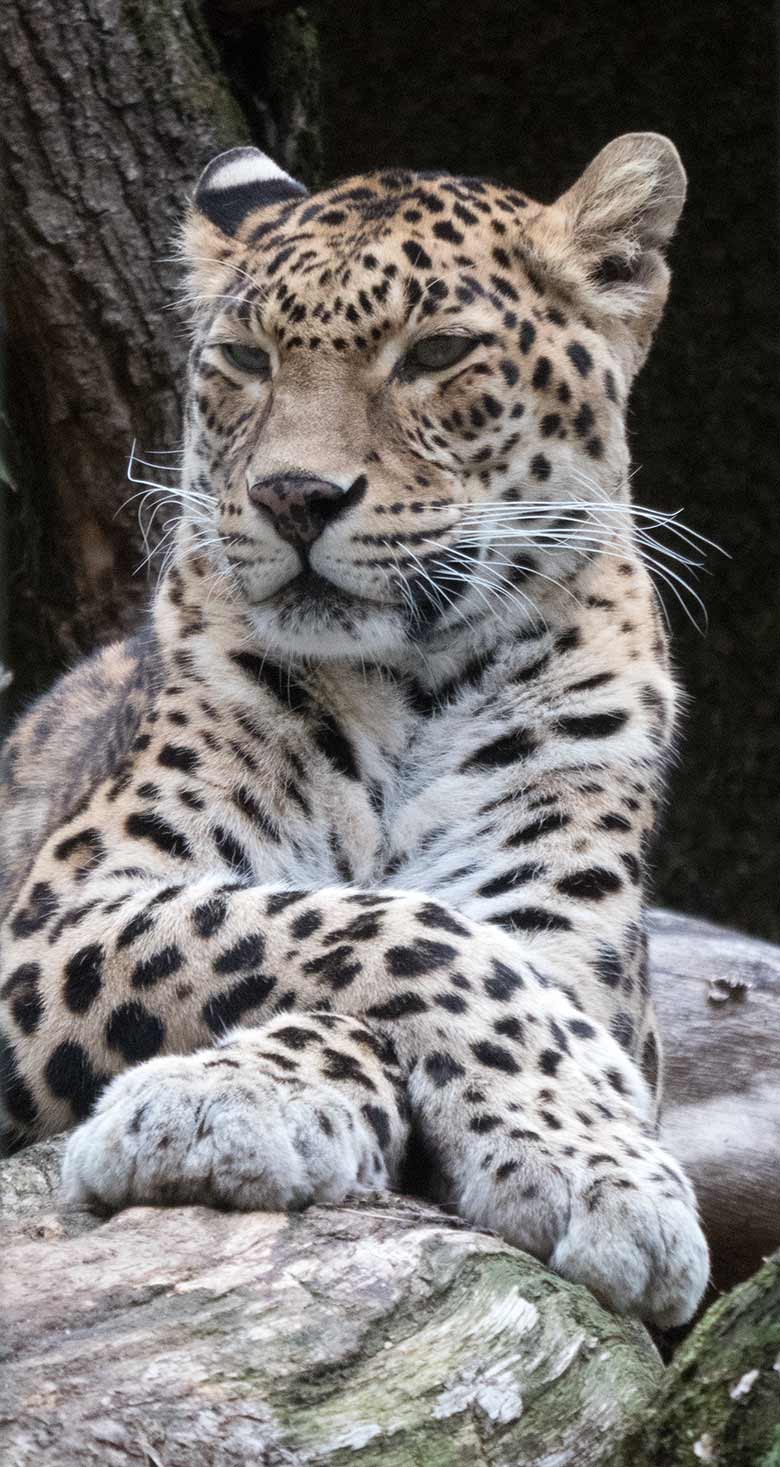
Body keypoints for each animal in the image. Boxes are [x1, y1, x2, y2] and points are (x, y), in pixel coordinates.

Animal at [0, 134, 709, 1332]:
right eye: (246, 358)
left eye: (438, 353)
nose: (294, 495)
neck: (407, 686)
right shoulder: (51, 916)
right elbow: (364, 925)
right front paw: (227, 1098)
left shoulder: (567, 941)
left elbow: (434, 953)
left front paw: (589, 1154)